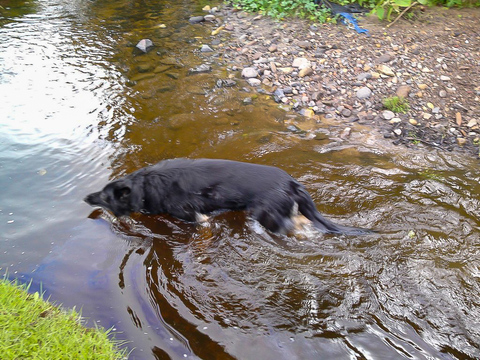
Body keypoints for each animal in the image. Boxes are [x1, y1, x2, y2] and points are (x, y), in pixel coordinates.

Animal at [85, 159, 372, 235]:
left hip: (266, 216)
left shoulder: (194, 216)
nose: (87, 197)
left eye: (106, 197)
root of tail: (292, 183)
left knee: (297, 224)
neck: (145, 186)